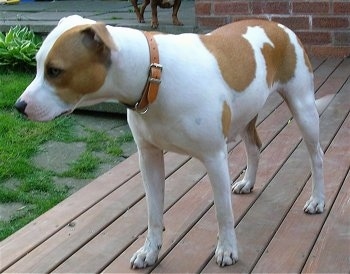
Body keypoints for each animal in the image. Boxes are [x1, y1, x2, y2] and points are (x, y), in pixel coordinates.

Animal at [15, 16, 324, 268]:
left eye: (55, 71)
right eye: (37, 65)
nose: (19, 106)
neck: (152, 74)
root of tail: (278, 26)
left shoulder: (214, 157)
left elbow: (223, 212)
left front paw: (227, 249)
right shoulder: (149, 157)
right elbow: (153, 213)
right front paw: (150, 252)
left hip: (303, 108)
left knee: (316, 156)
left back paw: (317, 200)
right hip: (246, 114)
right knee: (254, 146)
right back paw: (248, 182)